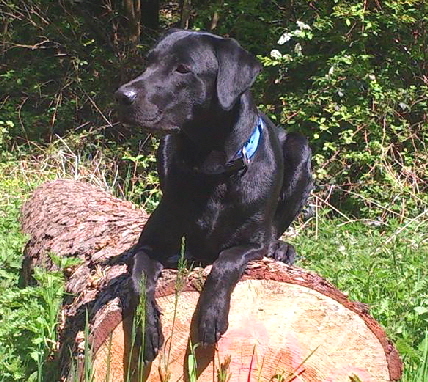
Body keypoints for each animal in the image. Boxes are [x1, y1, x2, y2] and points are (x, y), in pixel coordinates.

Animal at [115, 29, 312, 362]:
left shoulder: (252, 242)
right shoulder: (148, 244)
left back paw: (282, 248)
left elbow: (226, 262)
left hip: (300, 149)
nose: (121, 95)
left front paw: (211, 315)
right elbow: (139, 277)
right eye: (149, 62)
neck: (212, 170)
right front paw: (146, 328)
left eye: (183, 69)